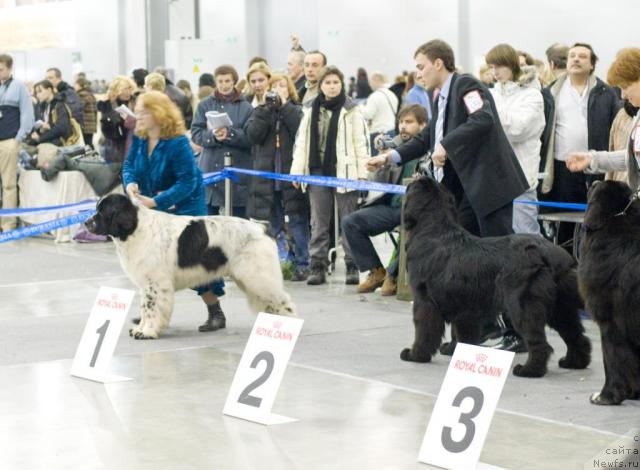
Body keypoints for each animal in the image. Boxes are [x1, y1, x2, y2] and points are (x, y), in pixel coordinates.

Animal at [84, 193, 296, 340]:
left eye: (103, 211)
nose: (86, 222)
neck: (136, 228)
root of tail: (261, 227)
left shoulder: (155, 284)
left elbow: (152, 309)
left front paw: (147, 332)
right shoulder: (146, 284)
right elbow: (145, 308)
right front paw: (140, 328)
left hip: (258, 277)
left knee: (283, 303)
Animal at [400, 176, 592, 378]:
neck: (434, 231)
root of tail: (550, 253)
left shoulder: (424, 300)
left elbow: (424, 330)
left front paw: (416, 355)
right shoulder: (465, 307)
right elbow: (462, 333)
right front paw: (455, 351)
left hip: (522, 305)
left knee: (540, 343)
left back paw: (529, 370)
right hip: (560, 307)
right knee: (576, 335)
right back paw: (574, 363)